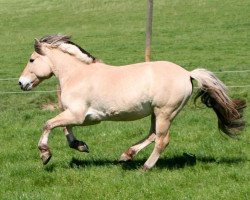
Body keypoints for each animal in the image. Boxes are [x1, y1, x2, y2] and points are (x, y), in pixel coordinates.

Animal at [18, 34, 245, 170]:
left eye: (31, 60)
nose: (21, 83)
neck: (78, 75)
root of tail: (187, 74)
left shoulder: (79, 115)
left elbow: (48, 124)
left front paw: (45, 154)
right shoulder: (78, 115)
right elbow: (65, 129)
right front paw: (81, 146)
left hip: (165, 112)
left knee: (162, 140)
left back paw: (145, 167)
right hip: (156, 113)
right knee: (153, 135)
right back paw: (126, 155)